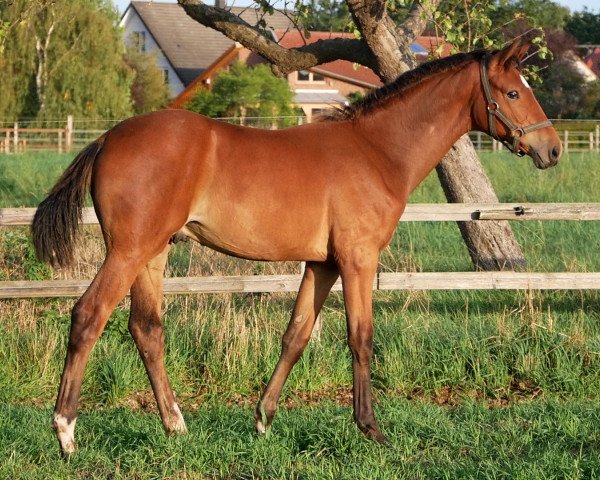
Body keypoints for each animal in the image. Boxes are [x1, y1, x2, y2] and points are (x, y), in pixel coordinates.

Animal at [31, 38, 556, 454]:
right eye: (512, 92)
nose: (551, 149)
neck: (376, 151)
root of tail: (108, 137)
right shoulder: (358, 260)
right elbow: (361, 338)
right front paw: (371, 428)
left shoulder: (321, 264)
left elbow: (296, 335)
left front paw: (263, 418)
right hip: (127, 250)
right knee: (89, 316)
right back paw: (65, 432)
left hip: (153, 253)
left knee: (147, 330)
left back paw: (175, 426)